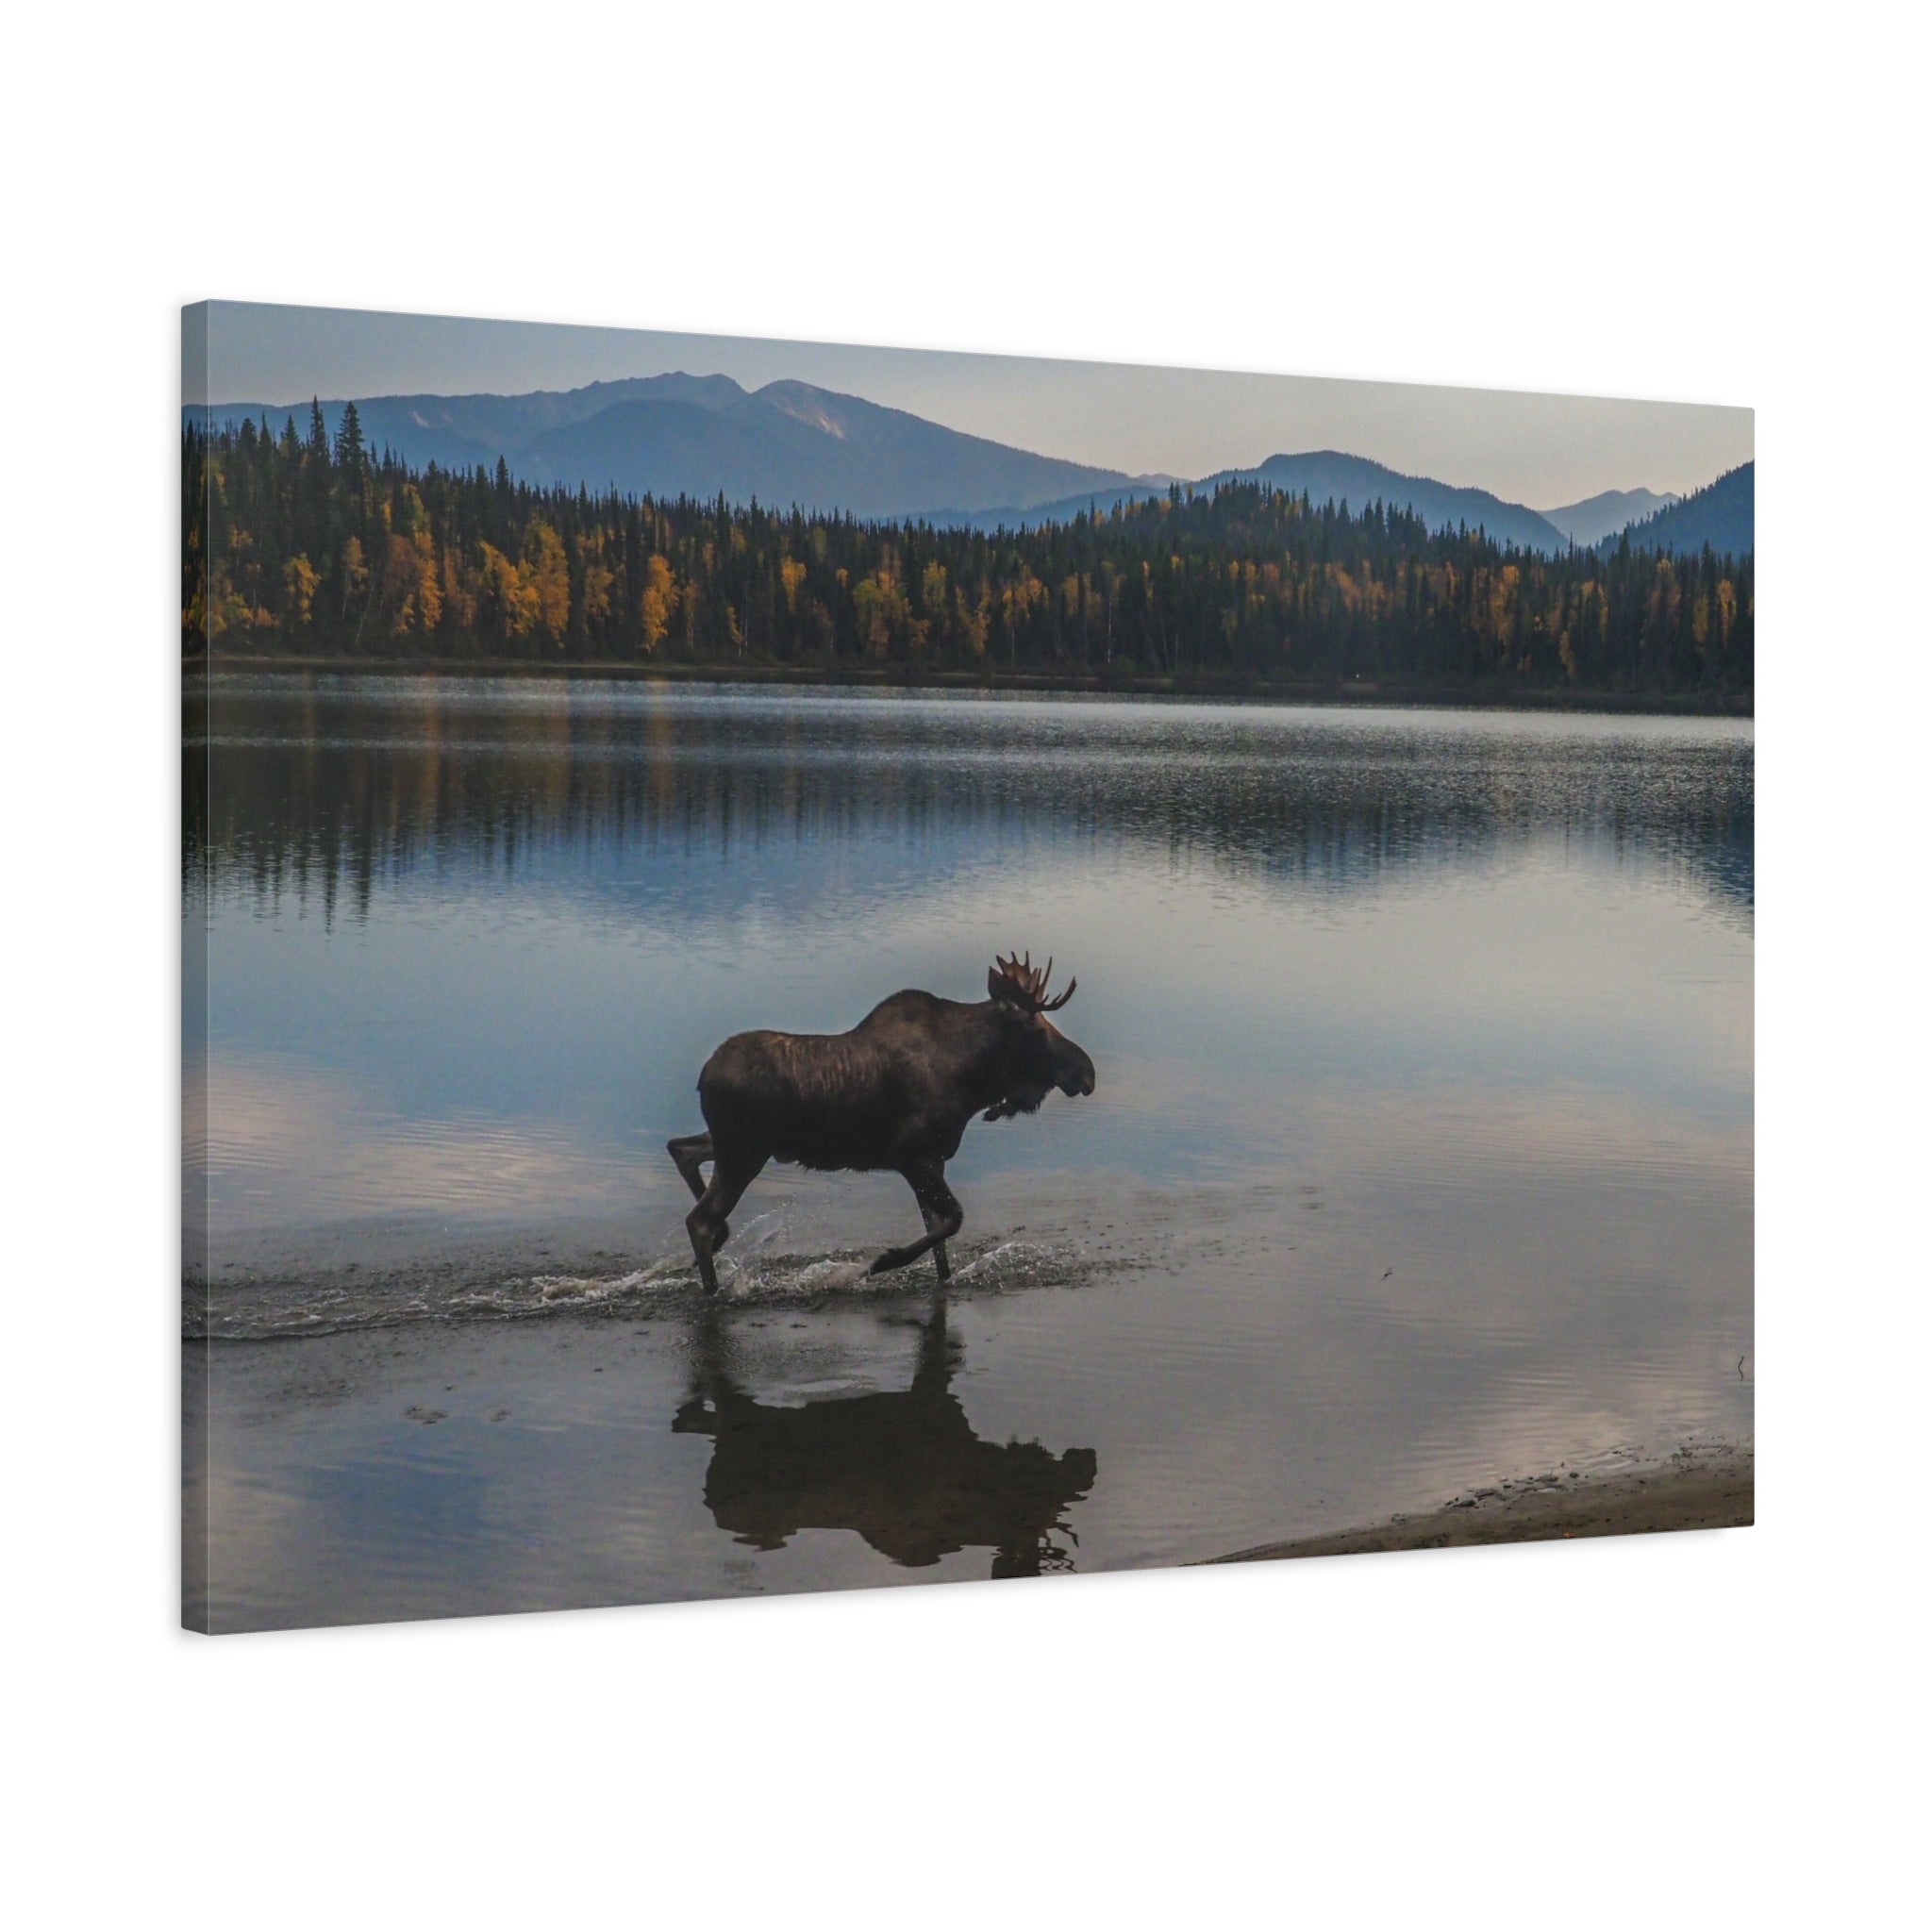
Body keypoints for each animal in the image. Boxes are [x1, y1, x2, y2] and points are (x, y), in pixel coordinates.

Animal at [668, 952, 1096, 1293]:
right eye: (1038, 1029)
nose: (1087, 1072)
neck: (972, 1080)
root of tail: (703, 1077)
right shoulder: (910, 1155)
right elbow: (953, 1220)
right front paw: (880, 1262)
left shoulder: (934, 1160)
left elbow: (939, 1239)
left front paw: (939, 1277)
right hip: (744, 1152)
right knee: (698, 1220)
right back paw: (713, 1288)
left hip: (737, 1145)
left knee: (681, 1149)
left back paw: (720, 1241)